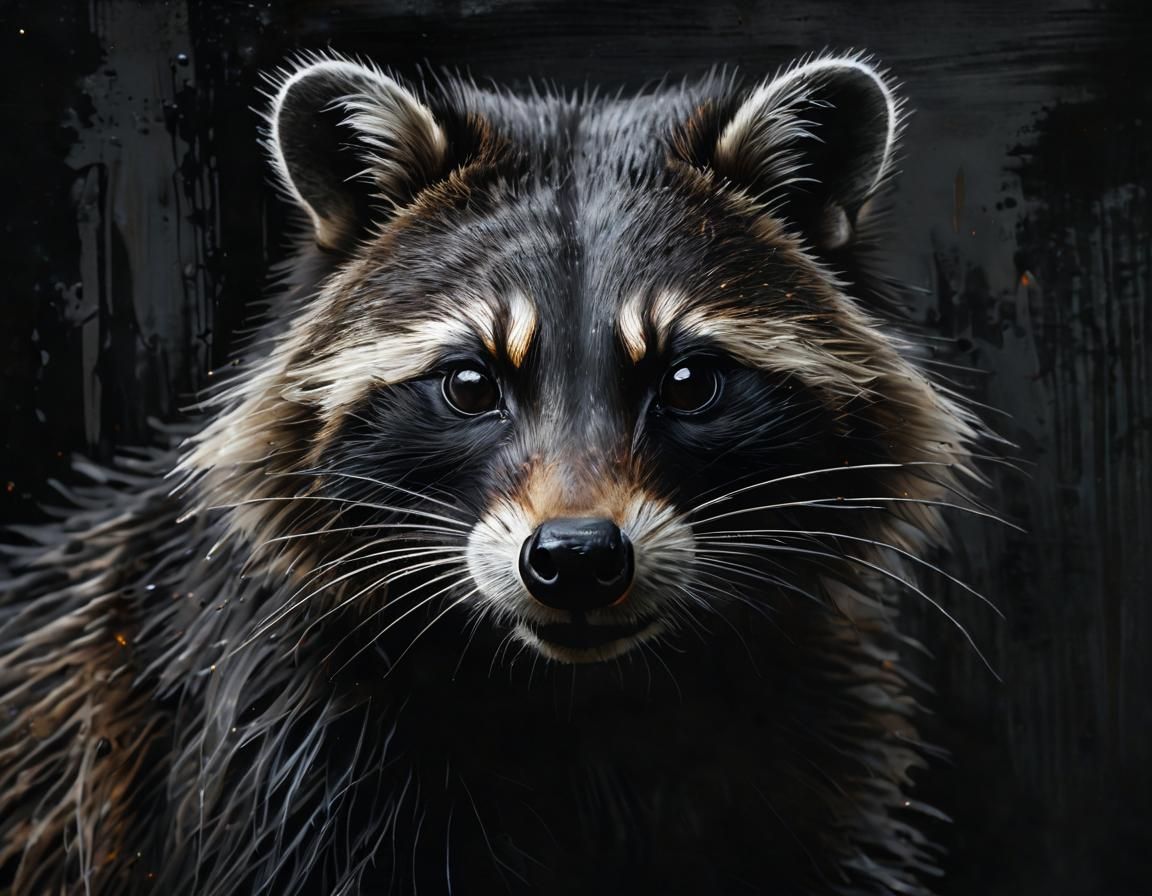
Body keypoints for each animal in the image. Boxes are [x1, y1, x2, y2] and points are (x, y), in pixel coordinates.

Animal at [0, 52, 989, 895]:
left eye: (687, 382)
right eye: (472, 383)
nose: (579, 558)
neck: (584, 699)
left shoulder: (818, 748)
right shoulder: (269, 756)